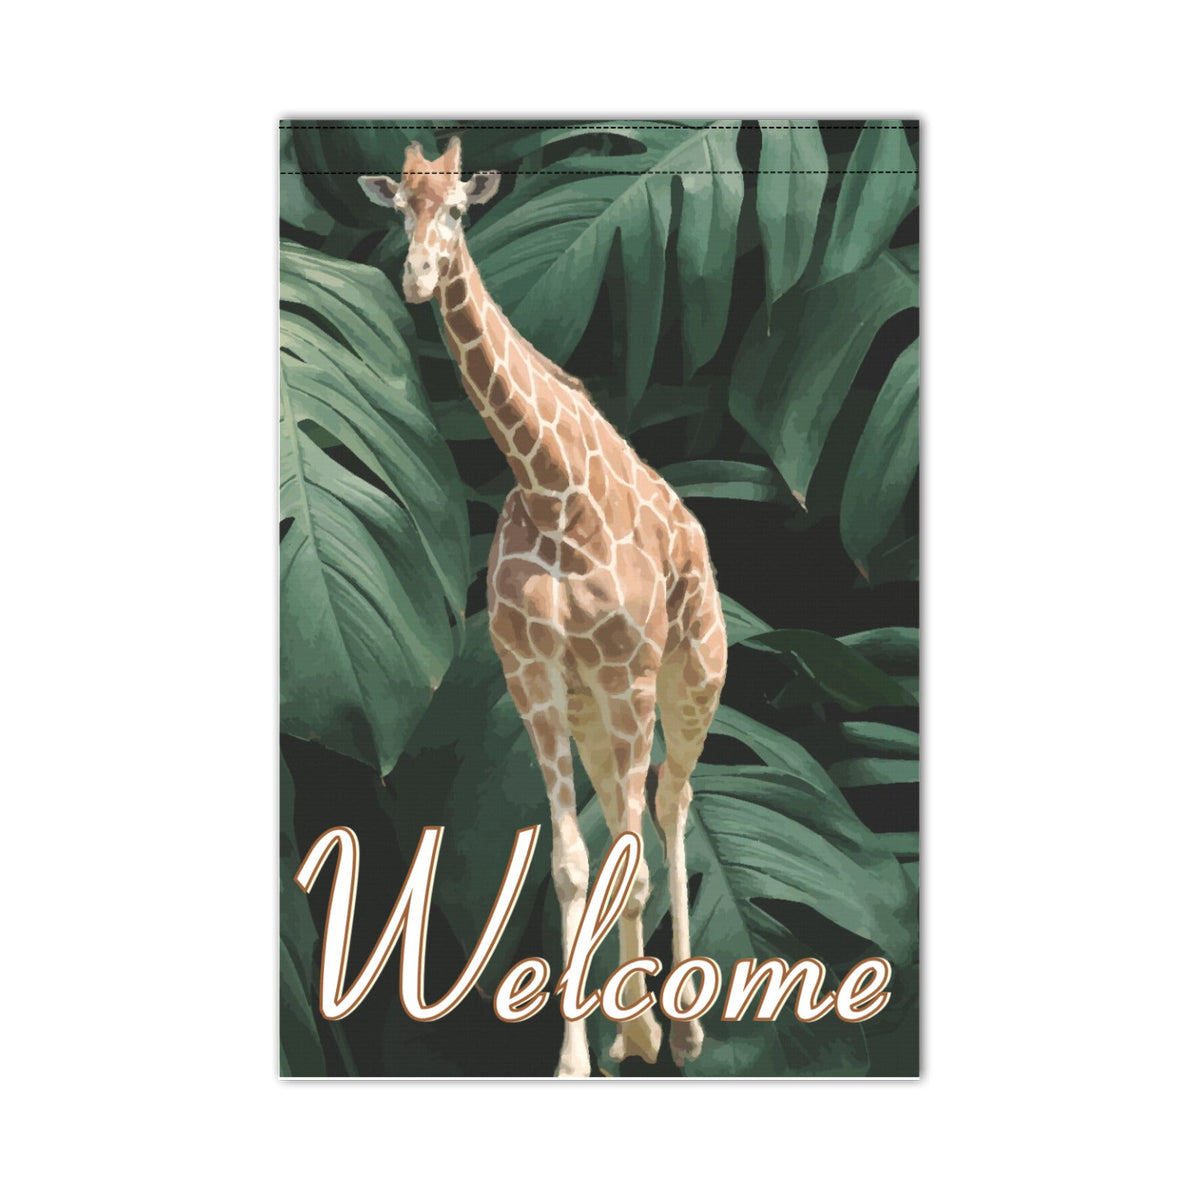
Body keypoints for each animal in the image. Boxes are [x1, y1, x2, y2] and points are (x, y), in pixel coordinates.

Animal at [361, 138, 727, 1078]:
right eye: (400, 210)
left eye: (459, 211)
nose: (418, 277)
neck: (553, 490)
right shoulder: (534, 680)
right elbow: (568, 864)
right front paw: (583, 1055)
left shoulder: (632, 674)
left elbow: (632, 862)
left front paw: (642, 1033)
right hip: (595, 709)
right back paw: (640, 1027)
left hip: (692, 675)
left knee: (675, 803)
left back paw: (685, 1029)